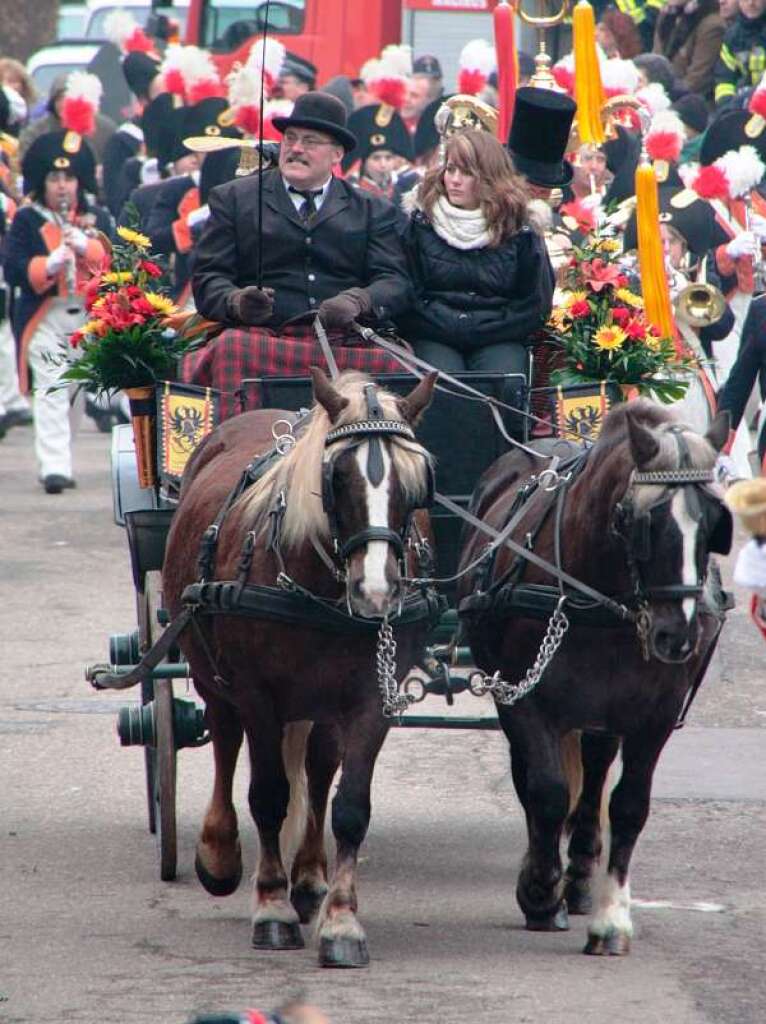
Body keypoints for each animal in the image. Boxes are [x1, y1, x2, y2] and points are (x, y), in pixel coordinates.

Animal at [161, 370, 436, 966]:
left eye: (418, 481)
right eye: (336, 477)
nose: (376, 592)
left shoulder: (371, 700)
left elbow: (348, 805)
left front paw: (341, 922)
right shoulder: (258, 695)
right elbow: (267, 796)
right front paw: (271, 908)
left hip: (320, 701)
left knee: (317, 765)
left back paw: (309, 879)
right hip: (212, 671)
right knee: (224, 740)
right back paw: (219, 854)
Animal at [458, 397, 733, 950]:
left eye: (715, 521)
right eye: (641, 521)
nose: (678, 636)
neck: (603, 600)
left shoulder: (653, 715)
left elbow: (628, 806)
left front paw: (611, 917)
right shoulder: (526, 699)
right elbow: (546, 791)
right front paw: (540, 891)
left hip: (604, 712)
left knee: (595, 772)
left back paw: (582, 878)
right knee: (536, 779)